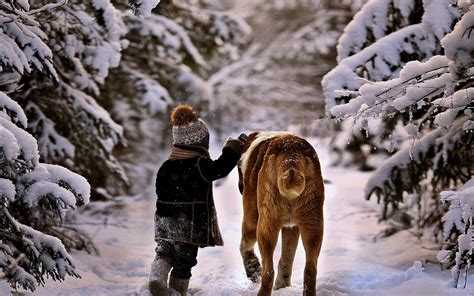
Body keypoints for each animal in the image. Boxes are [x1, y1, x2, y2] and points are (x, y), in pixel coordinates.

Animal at [239, 132, 324, 296]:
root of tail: (290, 156)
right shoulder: (292, 228)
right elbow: (287, 258)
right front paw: (282, 286)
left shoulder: (251, 218)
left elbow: (245, 246)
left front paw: (253, 269)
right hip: (313, 224)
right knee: (310, 269)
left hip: (265, 226)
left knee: (268, 271)